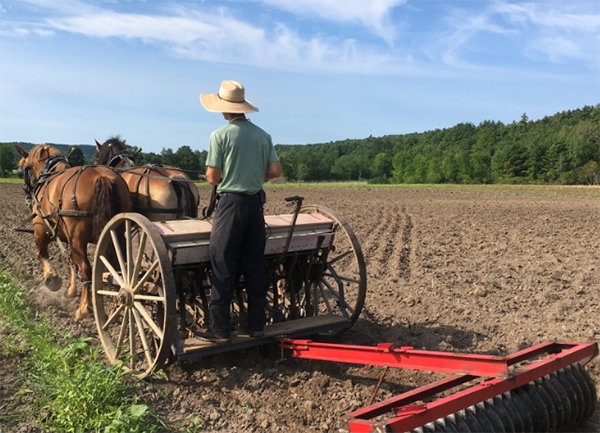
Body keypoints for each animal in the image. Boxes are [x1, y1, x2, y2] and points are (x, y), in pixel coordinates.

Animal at [14, 144, 131, 318]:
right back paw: (116, 309)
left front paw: (52, 279)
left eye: (22, 170)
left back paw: (84, 308)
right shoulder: (67, 238)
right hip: (116, 231)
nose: (27, 197)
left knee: (86, 269)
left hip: (76, 237)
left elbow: (42, 255)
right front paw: (70, 291)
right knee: (117, 268)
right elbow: (70, 262)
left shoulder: (41, 229)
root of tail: (102, 177)